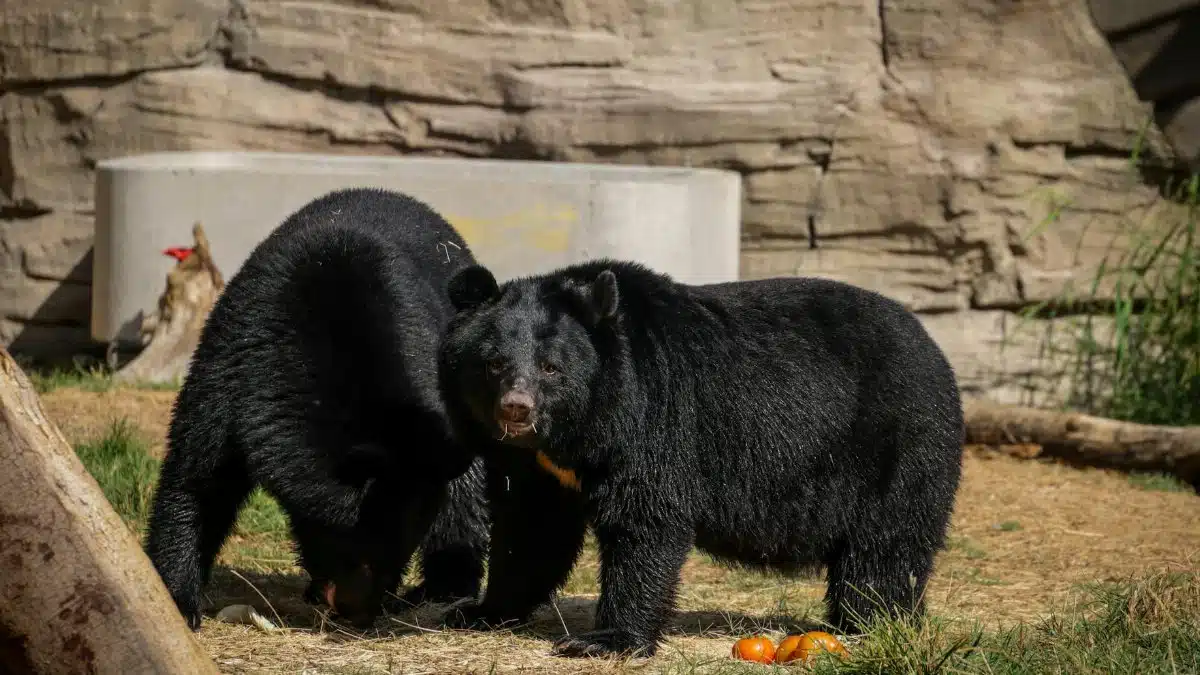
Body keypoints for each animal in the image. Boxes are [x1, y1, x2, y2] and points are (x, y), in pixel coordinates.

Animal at [143, 187, 489, 630]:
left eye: (399, 551)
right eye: (350, 545)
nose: (359, 611)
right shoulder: (235, 359)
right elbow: (198, 472)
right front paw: (176, 598)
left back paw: (443, 589)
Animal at [435, 259, 964, 657]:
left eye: (551, 368)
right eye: (493, 363)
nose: (517, 409)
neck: (578, 428)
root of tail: (933, 346)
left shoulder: (653, 413)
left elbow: (645, 517)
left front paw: (605, 640)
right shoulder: (536, 467)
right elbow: (532, 527)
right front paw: (479, 610)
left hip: (896, 443)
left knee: (884, 547)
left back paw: (868, 623)